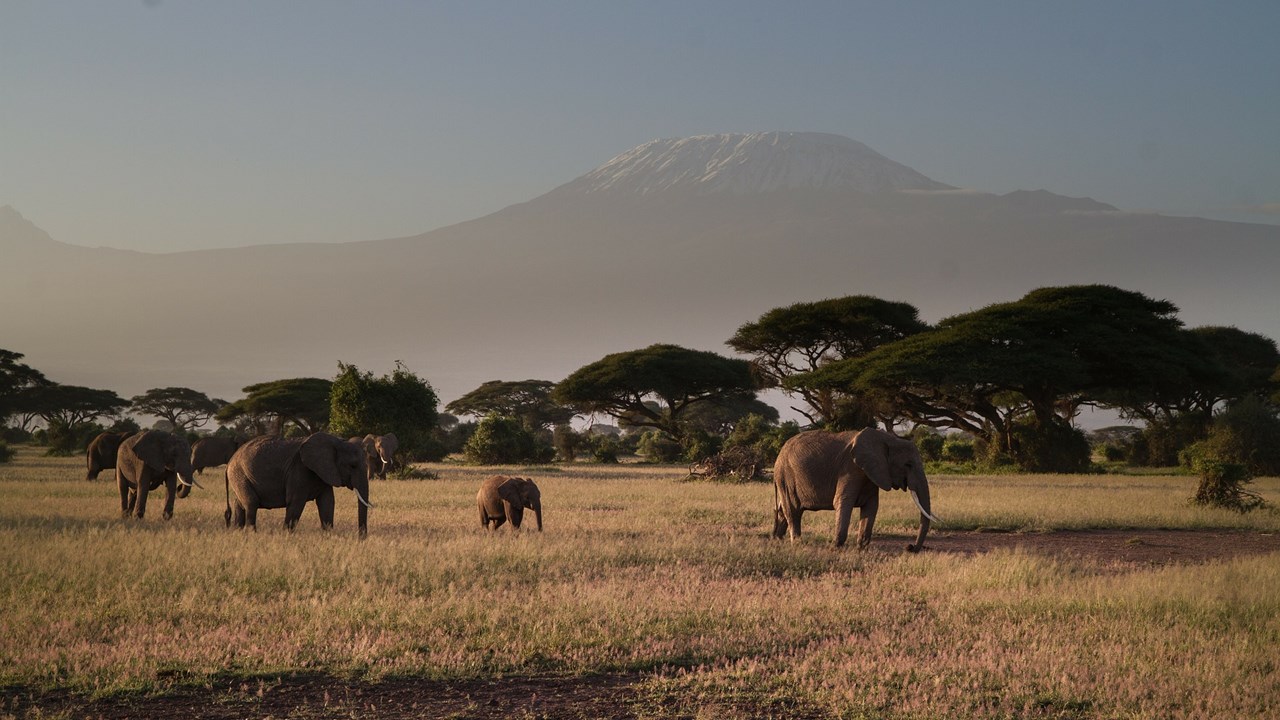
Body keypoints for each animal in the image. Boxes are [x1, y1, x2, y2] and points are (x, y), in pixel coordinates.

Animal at [226, 432, 373, 536]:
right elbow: (296, 502)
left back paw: (238, 533)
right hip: (240, 474)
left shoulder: (325, 472)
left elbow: (327, 502)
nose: (361, 537)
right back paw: (251, 534)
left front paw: (328, 536)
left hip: (239, 477)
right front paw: (286, 536)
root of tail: (229, 462)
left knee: (240, 504)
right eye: (352, 466)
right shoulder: (299, 469)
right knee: (251, 503)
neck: (337, 442)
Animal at [772, 428, 939, 552]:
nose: (910, 547)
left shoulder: (872, 472)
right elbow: (843, 501)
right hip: (785, 476)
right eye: (908, 465)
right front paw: (835, 548)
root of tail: (780, 452)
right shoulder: (850, 468)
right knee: (793, 510)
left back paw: (778, 541)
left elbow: (871, 506)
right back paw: (797, 544)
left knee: (783, 510)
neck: (886, 439)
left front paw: (861, 549)